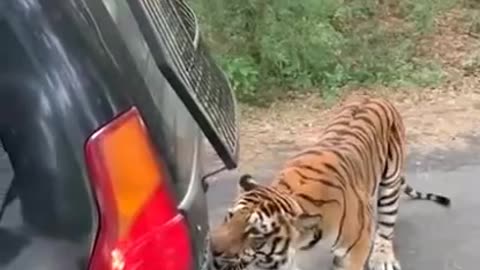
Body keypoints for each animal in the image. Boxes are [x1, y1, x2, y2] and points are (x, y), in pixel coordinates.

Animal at [209, 96, 450, 270]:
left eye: (255, 234)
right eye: (228, 217)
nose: (212, 250)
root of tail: (376, 94)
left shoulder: (356, 250)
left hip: (390, 185)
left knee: (386, 228)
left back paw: (383, 259)